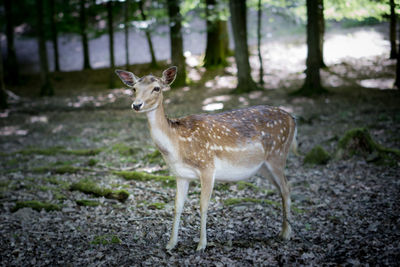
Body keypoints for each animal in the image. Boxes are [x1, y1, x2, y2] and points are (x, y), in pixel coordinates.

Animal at [115, 66, 296, 251]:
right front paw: (171, 244)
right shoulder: (181, 175)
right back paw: (283, 230)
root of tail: (292, 119)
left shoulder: (207, 167)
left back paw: (287, 234)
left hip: (277, 155)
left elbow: (203, 205)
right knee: (281, 189)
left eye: (156, 88)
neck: (177, 147)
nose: (137, 105)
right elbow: (177, 206)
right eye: (134, 88)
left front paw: (201, 245)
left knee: (287, 188)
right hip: (264, 166)